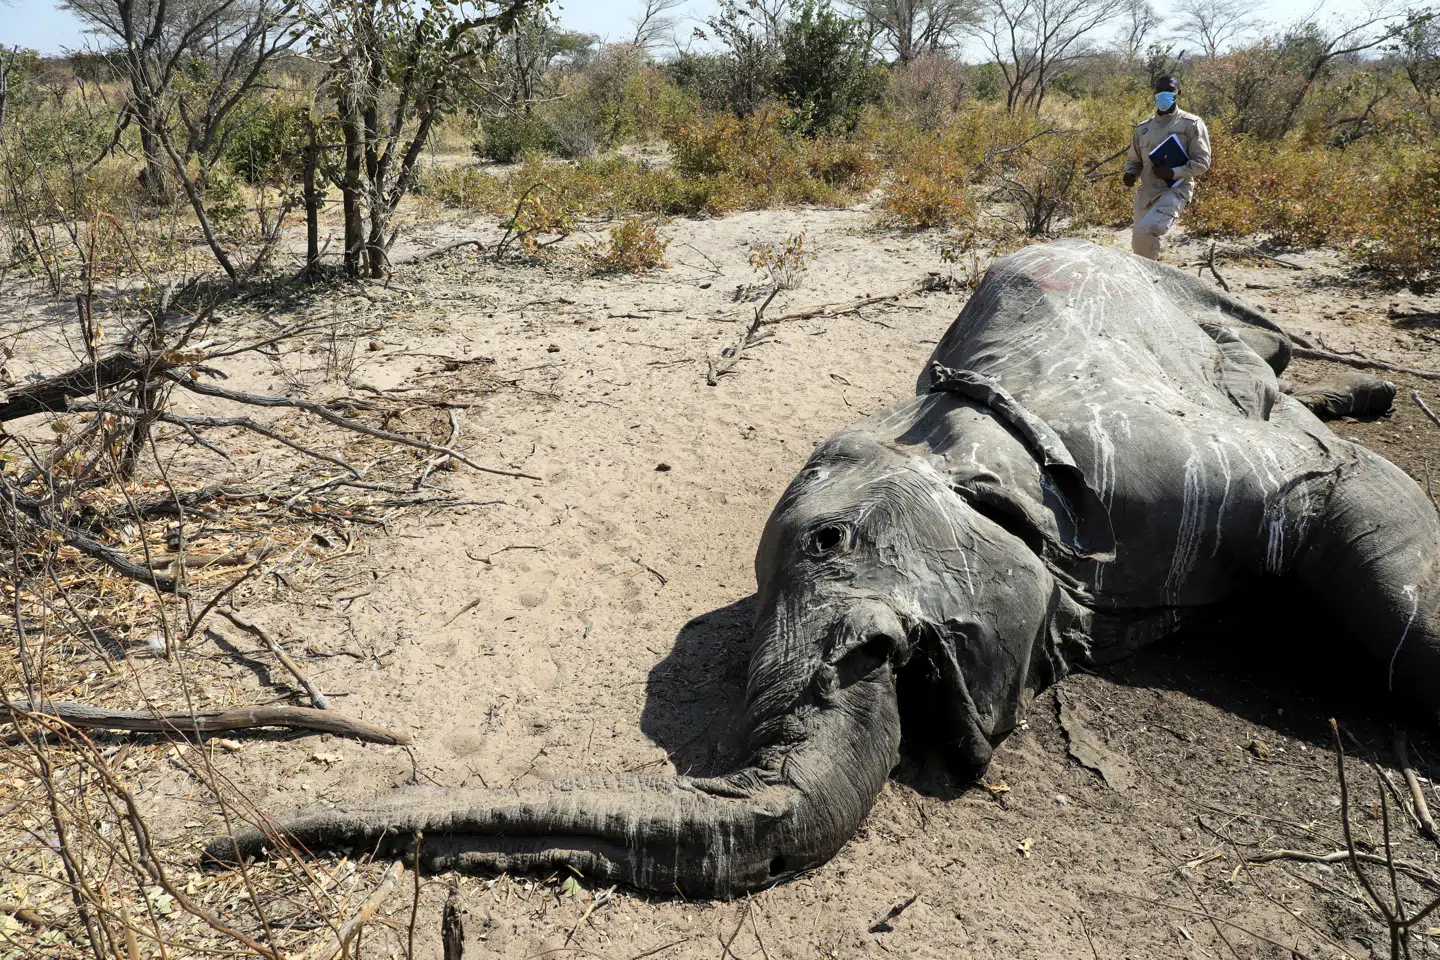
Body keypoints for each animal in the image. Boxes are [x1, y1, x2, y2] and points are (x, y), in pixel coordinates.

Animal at [208, 239, 1439, 899]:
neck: (955, 422)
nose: (223, 840)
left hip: (1199, 295)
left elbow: (1358, 515)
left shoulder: (1159, 462)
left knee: (1273, 353)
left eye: (829, 544)